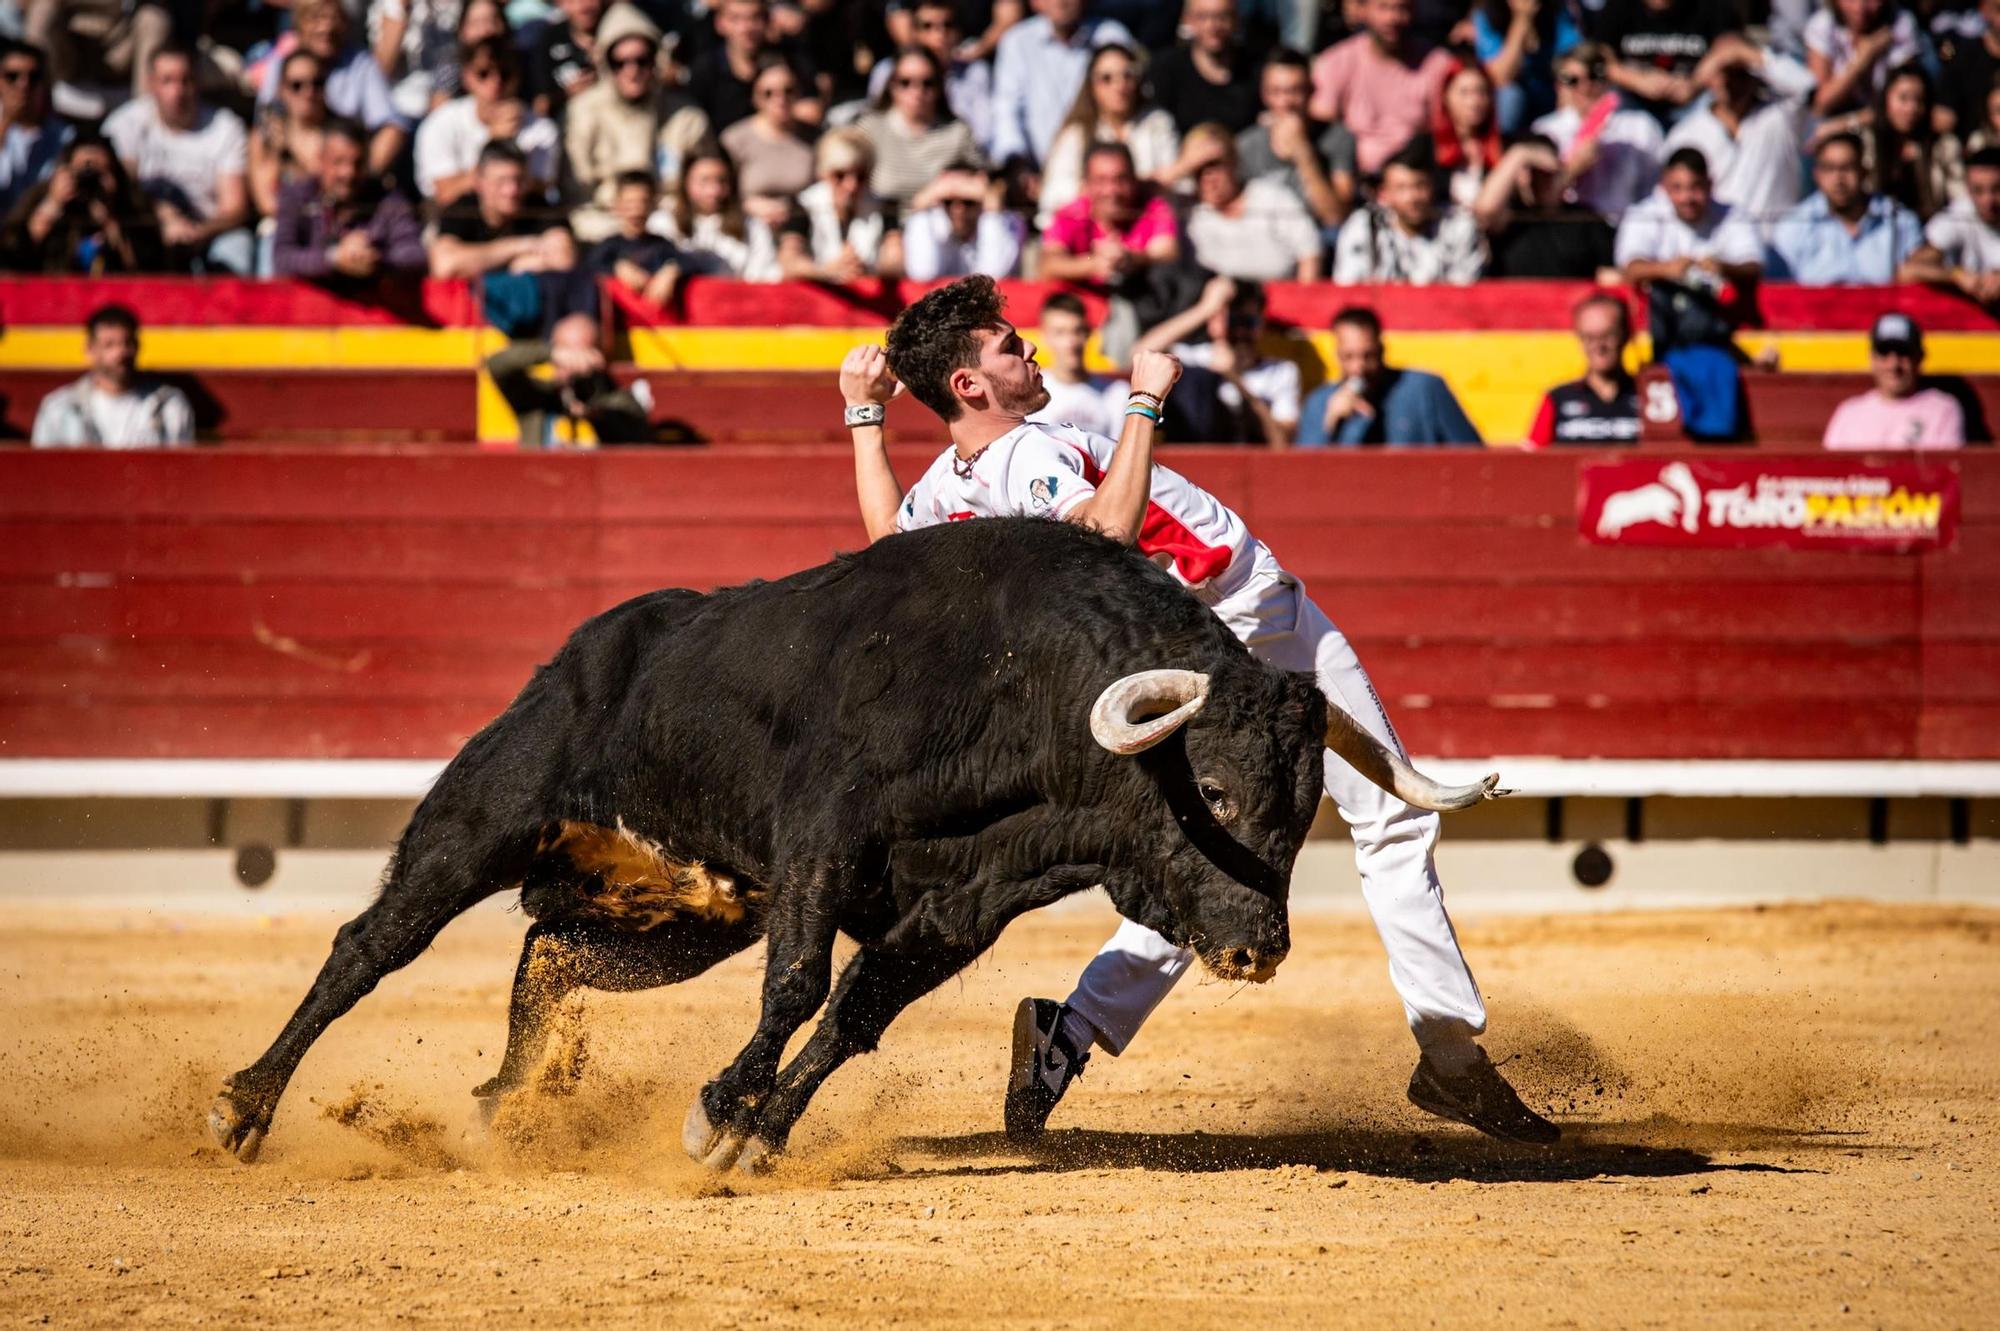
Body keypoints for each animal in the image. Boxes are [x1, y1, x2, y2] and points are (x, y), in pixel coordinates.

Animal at [211, 511, 1496, 1167]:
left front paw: (758, 1134)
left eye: (1304, 805)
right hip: (484, 814)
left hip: (686, 910)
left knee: (552, 956)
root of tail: (589, 641)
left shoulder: (959, 909)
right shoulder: (822, 835)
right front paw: (717, 1109)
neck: (1022, 693)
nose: (1254, 949)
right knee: (370, 943)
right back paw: (243, 1106)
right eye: (1216, 790)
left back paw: (511, 1109)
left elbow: (851, 1013)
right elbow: (797, 985)